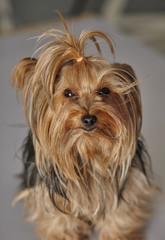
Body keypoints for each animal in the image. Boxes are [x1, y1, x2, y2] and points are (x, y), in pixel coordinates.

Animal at [11, 12, 156, 240]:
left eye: (104, 90)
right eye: (68, 93)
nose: (88, 119)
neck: (87, 147)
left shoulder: (126, 185)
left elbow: (120, 214)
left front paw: (117, 234)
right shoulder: (53, 195)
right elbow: (60, 219)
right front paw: (64, 235)